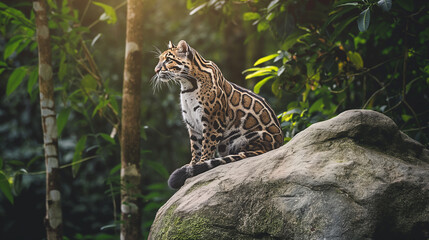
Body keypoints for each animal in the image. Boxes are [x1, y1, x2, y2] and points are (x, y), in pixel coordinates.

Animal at [152, 39, 282, 189]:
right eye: (159, 59)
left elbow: (207, 144)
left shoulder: (213, 120)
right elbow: (195, 147)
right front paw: (192, 164)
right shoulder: (192, 123)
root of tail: (277, 144)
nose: (156, 70)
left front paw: (201, 163)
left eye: (168, 60)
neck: (187, 85)